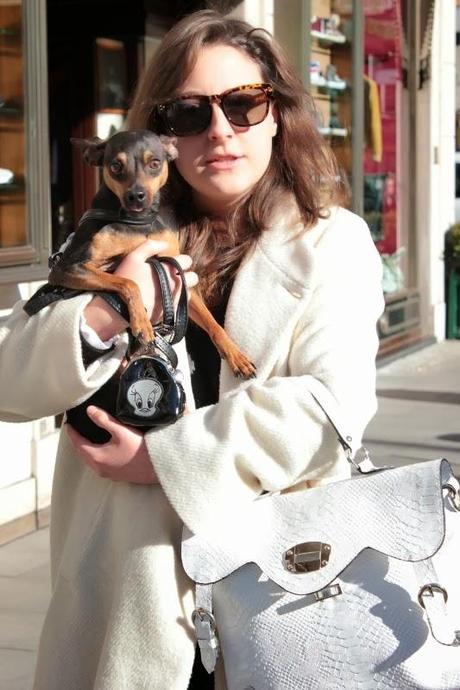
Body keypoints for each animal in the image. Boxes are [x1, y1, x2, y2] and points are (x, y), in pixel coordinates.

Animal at [49, 127, 256, 378]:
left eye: (155, 163)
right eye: (115, 166)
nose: (136, 195)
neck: (139, 222)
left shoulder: (181, 278)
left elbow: (212, 323)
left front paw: (235, 355)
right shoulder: (67, 268)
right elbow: (128, 283)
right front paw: (142, 323)